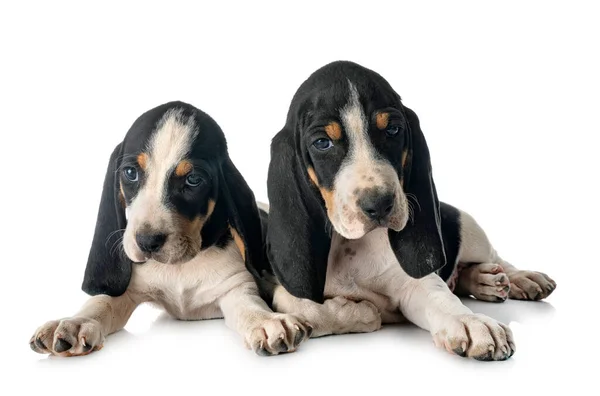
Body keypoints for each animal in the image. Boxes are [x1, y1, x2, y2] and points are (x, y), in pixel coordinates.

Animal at [28, 100, 310, 358]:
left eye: (193, 179)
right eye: (130, 172)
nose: (146, 242)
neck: (180, 268)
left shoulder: (236, 288)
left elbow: (250, 307)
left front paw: (266, 321)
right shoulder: (129, 288)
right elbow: (101, 302)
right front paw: (75, 324)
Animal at [260, 60, 556, 360]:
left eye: (393, 130)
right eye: (322, 143)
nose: (379, 204)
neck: (352, 245)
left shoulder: (413, 284)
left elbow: (442, 300)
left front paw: (470, 321)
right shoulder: (289, 292)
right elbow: (290, 301)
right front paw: (360, 313)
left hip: (469, 229)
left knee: (494, 256)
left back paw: (521, 278)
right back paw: (483, 280)